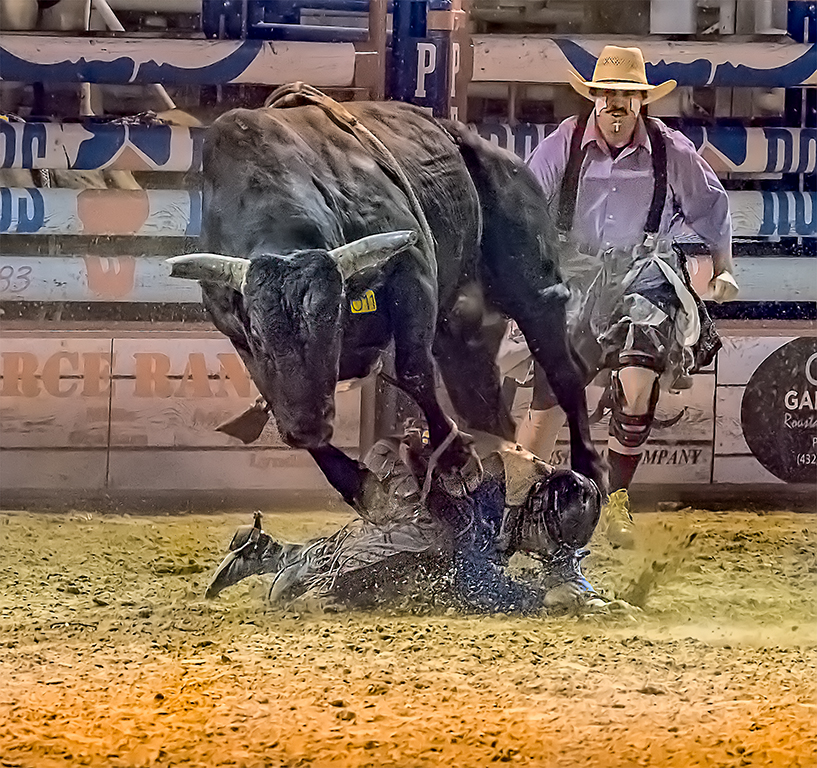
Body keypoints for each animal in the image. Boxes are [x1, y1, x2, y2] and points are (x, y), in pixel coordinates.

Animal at [167, 100, 604, 510]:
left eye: (335, 319)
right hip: (463, 335)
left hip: (534, 289)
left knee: (563, 372)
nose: (307, 428)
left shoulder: (412, 272)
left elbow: (413, 372)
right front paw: (355, 482)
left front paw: (455, 459)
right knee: (485, 404)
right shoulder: (235, 335)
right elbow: (275, 396)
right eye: (257, 337)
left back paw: (589, 469)